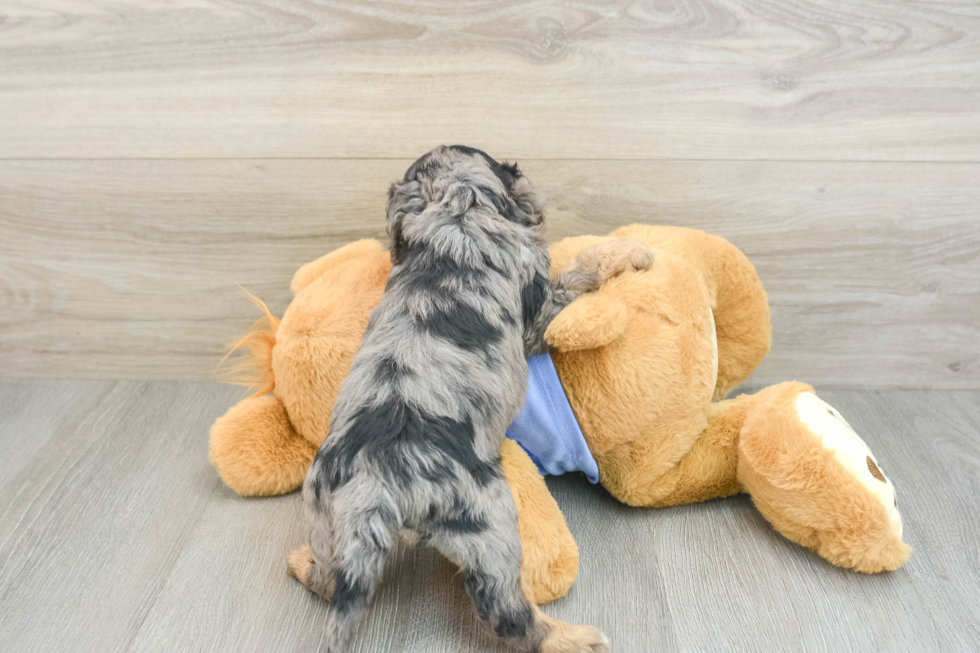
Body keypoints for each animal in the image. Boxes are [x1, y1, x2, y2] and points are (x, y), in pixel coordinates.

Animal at [286, 145, 652, 648]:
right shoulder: (539, 314)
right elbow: (580, 269)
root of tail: (375, 483)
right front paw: (633, 251)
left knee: (329, 582)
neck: (458, 208)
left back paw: (300, 561)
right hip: (488, 523)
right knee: (506, 613)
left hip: (323, 513)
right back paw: (574, 638)